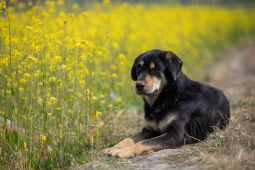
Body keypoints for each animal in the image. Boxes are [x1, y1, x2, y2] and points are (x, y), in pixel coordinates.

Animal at [102, 49, 230, 158]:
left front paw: (123, 151)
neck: (168, 97)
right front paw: (112, 148)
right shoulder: (149, 130)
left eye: (155, 69)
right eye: (139, 67)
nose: (139, 85)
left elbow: (144, 143)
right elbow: (128, 139)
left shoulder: (176, 135)